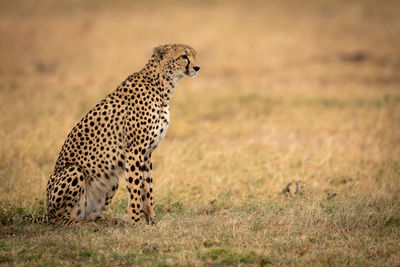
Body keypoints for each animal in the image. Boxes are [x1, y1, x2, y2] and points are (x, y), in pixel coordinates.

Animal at [38, 44, 199, 226]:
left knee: (90, 215)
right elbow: (135, 189)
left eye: (194, 55)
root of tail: (46, 212)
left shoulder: (147, 153)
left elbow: (148, 189)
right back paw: (82, 224)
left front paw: (152, 221)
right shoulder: (134, 151)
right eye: (184, 56)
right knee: (60, 220)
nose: (197, 67)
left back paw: (106, 221)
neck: (162, 84)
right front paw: (136, 223)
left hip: (111, 181)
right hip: (74, 171)